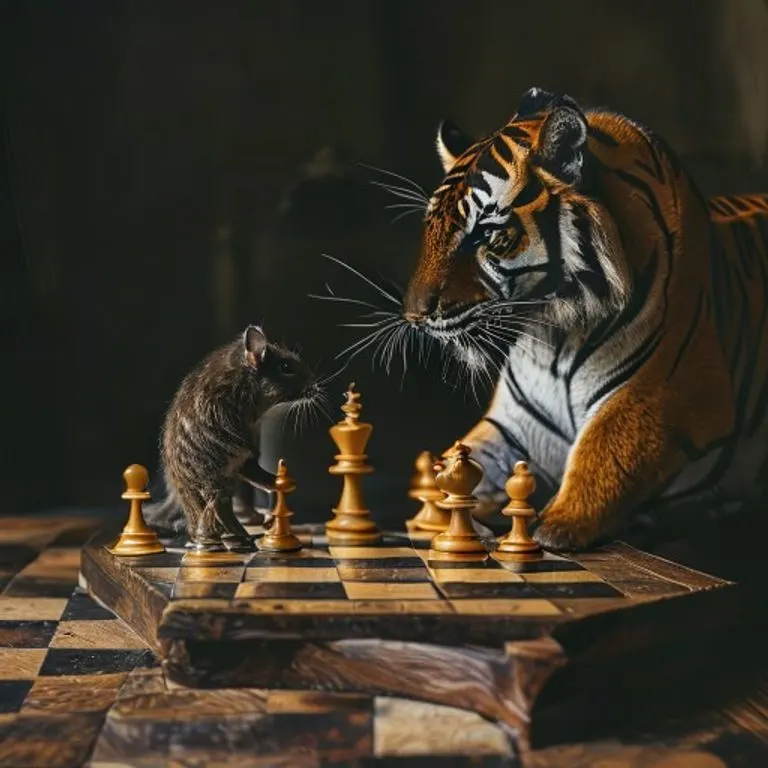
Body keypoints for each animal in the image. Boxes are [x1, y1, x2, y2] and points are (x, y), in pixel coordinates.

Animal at [401, 86, 768, 551]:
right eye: (432, 228)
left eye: (485, 234)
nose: (414, 315)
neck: (553, 332)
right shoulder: (517, 424)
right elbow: (461, 461)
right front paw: (435, 516)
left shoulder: (664, 392)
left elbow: (604, 452)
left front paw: (556, 525)